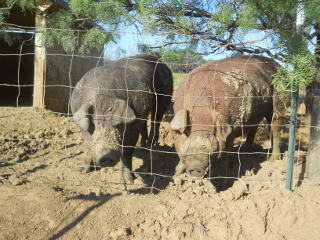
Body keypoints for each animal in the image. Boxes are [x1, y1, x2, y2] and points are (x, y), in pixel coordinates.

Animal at [71, 54, 174, 183]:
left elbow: (127, 151)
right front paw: (82, 171)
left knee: (156, 118)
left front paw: (128, 181)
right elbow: (87, 146)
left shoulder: (135, 125)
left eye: (119, 125)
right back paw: (142, 144)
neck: (104, 95)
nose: (107, 155)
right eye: (92, 125)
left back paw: (149, 145)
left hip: (165, 96)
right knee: (146, 122)